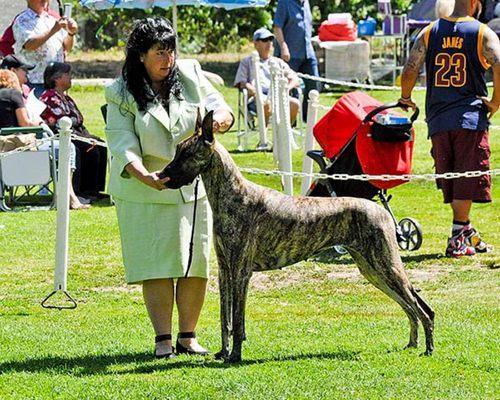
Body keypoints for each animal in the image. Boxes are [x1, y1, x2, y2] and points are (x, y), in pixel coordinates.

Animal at [160, 110, 434, 362]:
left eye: (186, 154)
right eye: (177, 151)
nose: (162, 175)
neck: (234, 194)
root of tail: (382, 212)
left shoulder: (240, 272)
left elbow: (237, 322)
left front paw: (234, 355)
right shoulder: (225, 271)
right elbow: (224, 319)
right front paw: (223, 352)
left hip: (385, 266)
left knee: (422, 308)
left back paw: (428, 348)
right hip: (373, 270)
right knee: (410, 306)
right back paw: (412, 344)